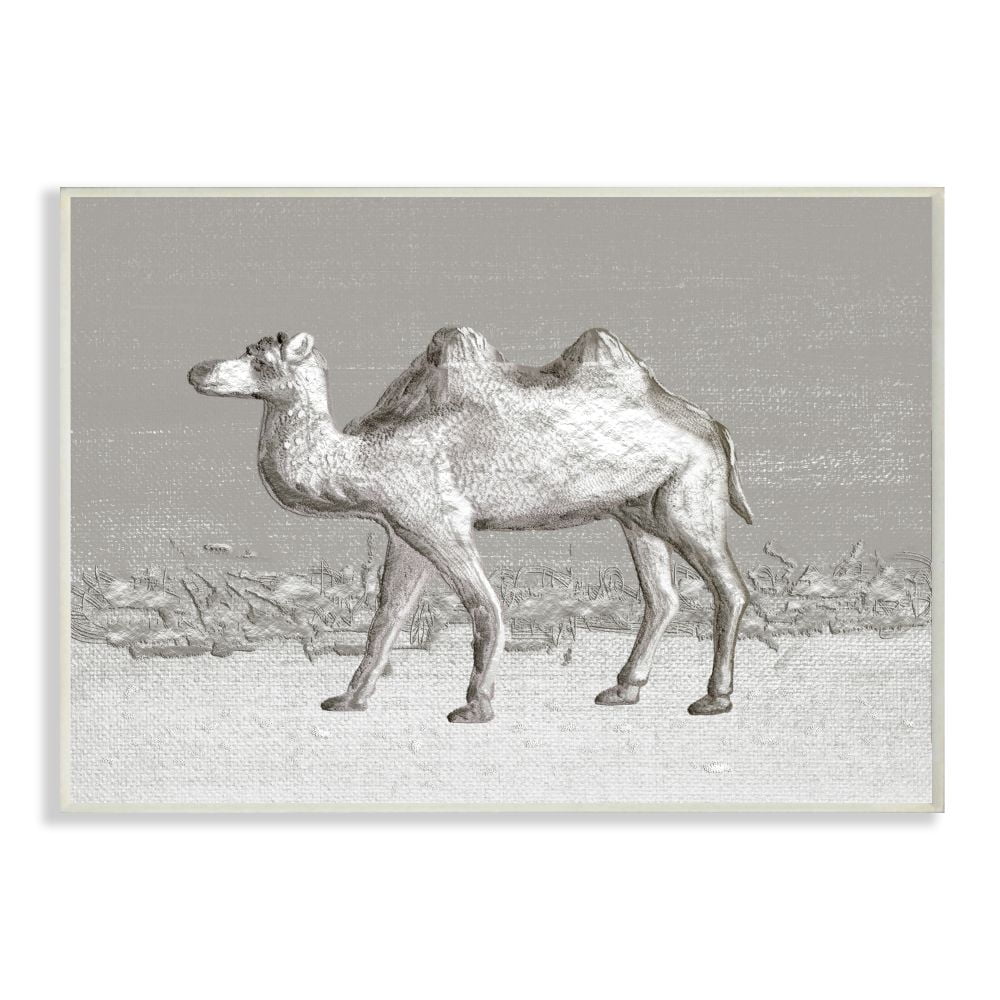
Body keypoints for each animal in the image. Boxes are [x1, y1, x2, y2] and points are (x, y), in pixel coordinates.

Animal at [188, 326, 753, 723]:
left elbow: (485, 607)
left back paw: (714, 698)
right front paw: (349, 699)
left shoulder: (440, 522)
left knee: (729, 588)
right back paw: (623, 688)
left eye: (261, 361)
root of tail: (714, 426)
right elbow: (386, 618)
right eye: (246, 348)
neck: (363, 458)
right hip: (637, 511)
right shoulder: (405, 532)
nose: (197, 370)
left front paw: (475, 706)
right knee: (663, 597)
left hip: (687, 499)